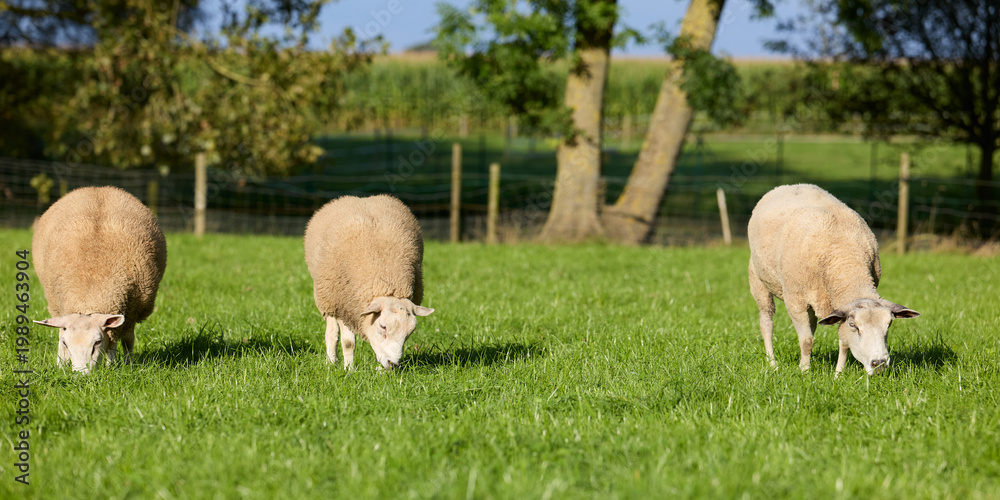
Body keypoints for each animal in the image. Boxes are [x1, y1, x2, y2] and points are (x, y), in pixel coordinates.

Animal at [32, 186, 167, 374]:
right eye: (67, 343)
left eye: (97, 342)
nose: (81, 375)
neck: (91, 292)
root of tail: (99, 188)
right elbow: (61, 335)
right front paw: (61, 366)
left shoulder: (130, 312)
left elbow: (125, 342)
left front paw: (119, 367)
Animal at [304, 194, 434, 370]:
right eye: (383, 326)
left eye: (409, 333)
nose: (392, 364)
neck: (384, 283)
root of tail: (361, 198)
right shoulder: (344, 305)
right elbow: (348, 342)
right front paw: (349, 369)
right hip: (327, 296)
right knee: (331, 332)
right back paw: (331, 362)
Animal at [747, 184, 919, 376]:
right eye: (854, 325)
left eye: (889, 324)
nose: (879, 365)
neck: (845, 261)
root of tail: (790, 185)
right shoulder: (795, 302)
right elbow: (806, 340)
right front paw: (805, 371)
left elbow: (843, 342)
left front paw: (838, 374)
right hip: (757, 279)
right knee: (766, 322)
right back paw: (772, 363)